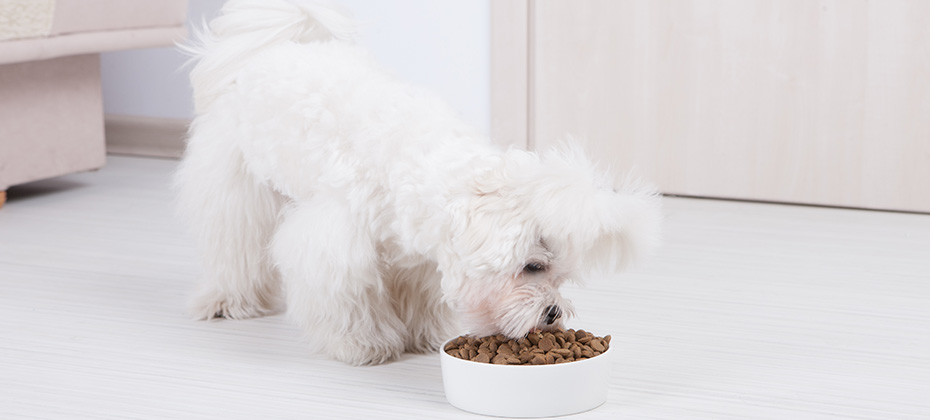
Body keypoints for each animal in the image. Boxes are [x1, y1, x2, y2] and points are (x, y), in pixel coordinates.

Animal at [174, 0, 660, 364]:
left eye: (562, 275)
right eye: (533, 267)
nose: (554, 311)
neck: (427, 170)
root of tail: (275, 47)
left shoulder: (419, 258)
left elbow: (419, 297)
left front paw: (421, 336)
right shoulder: (336, 245)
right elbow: (350, 297)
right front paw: (367, 345)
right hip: (236, 186)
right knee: (234, 248)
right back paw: (229, 302)